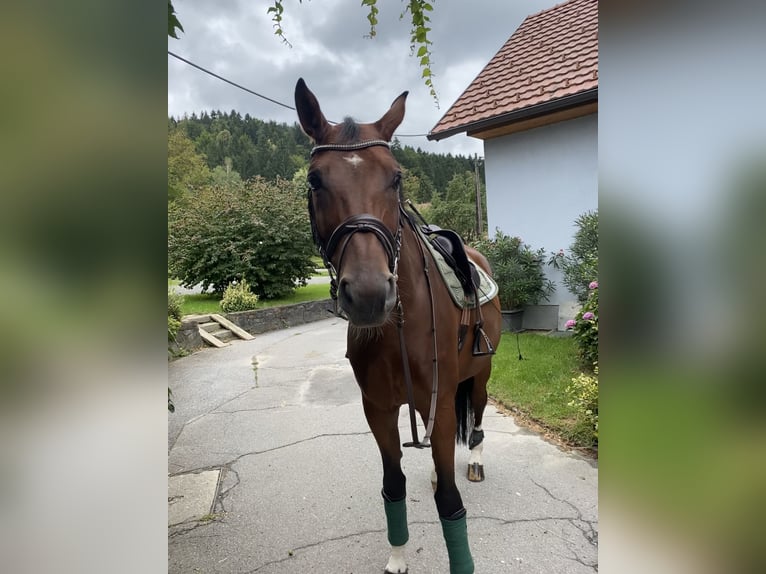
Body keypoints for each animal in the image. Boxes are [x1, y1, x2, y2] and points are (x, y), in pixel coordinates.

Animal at [296, 77, 504, 574]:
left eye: (396, 177)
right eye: (315, 180)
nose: (370, 293)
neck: (399, 327)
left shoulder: (444, 401)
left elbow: (450, 500)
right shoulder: (378, 408)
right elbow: (394, 486)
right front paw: (396, 556)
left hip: (479, 376)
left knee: (478, 416)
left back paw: (476, 460)